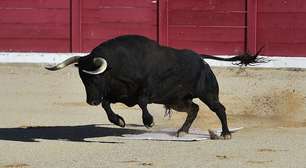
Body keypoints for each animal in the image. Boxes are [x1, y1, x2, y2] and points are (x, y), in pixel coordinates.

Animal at [46, 34, 266, 139]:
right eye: (83, 79)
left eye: (95, 79)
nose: (91, 101)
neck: (118, 66)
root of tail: (201, 59)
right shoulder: (118, 95)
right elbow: (106, 105)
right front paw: (119, 121)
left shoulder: (145, 89)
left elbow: (143, 101)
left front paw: (149, 121)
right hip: (177, 100)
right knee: (193, 109)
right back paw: (182, 131)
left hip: (208, 94)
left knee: (219, 108)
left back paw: (226, 134)